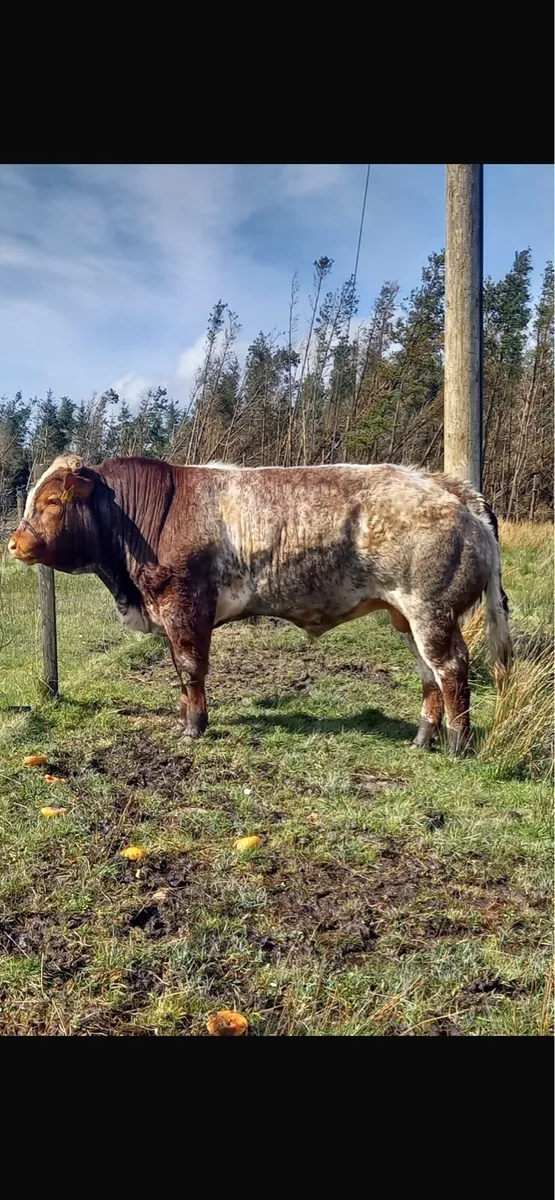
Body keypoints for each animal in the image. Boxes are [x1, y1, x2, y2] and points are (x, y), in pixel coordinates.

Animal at [8, 454, 512, 756]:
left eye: (51, 501)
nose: (13, 542)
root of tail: (448, 488)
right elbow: (179, 670)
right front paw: (184, 718)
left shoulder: (186, 607)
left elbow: (190, 668)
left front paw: (194, 726)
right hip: (407, 615)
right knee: (430, 674)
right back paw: (422, 739)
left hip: (431, 609)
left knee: (451, 668)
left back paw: (457, 745)